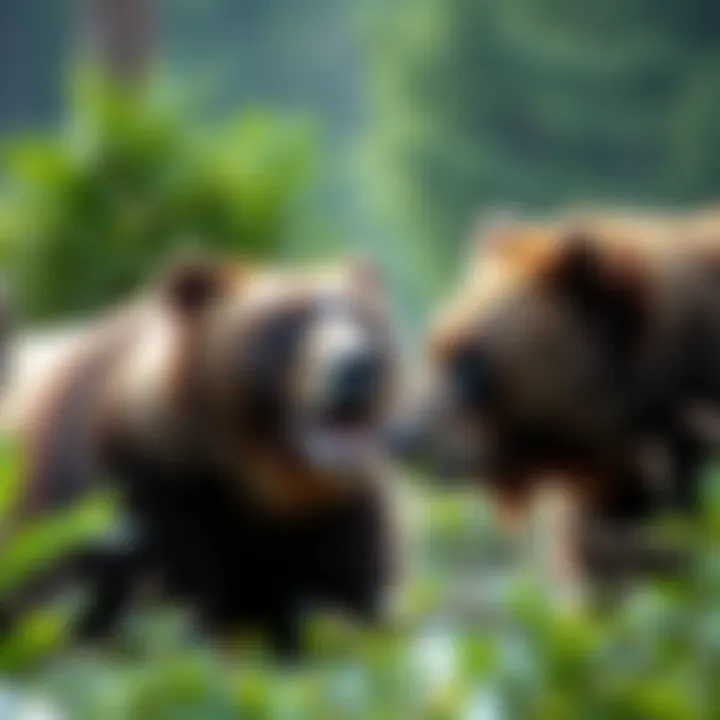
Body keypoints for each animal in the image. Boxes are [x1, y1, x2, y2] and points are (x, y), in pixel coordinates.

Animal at [0, 252, 403, 656]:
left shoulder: (333, 514)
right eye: (287, 325)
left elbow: (338, 603)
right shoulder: (127, 495)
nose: (358, 366)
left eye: (364, 320)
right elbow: (148, 602)